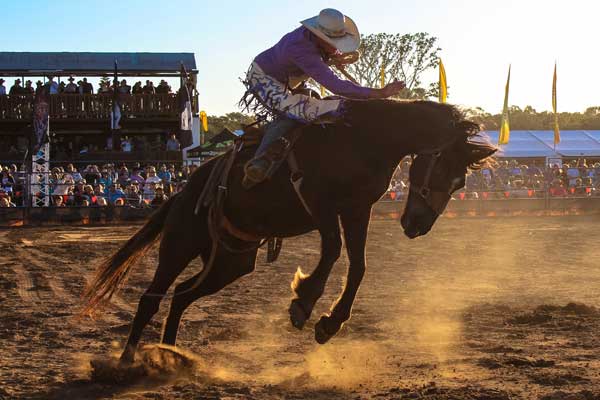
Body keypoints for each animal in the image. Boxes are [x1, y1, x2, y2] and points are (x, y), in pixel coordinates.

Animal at [83, 98, 496, 364]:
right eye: (441, 168)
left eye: (460, 183)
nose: (418, 225)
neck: (365, 139)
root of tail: (183, 191)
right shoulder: (317, 200)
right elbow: (333, 250)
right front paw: (304, 302)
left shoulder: (357, 209)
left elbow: (358, 265)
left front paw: (329, 323)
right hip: (180, 243)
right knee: (151, 298)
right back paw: (126, 362)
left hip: (231, 262)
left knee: (183, 295)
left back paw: (171, 356)